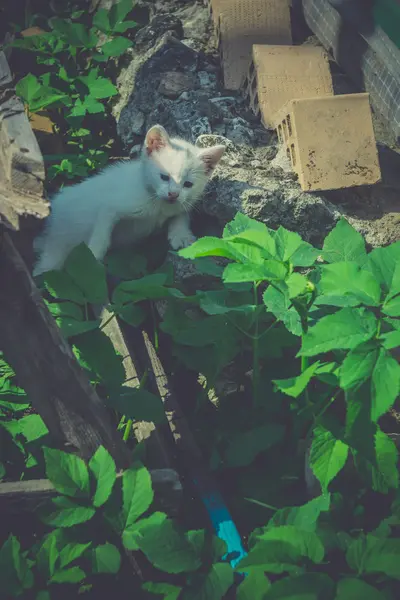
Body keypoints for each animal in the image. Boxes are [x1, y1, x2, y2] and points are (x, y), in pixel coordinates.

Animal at [32, 127, 225, 278]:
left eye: (188, 184)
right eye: (164, 177)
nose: (173, 194)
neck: (157, 205)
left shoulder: (180, 204)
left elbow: (182, 212)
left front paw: (181, 235)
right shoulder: (112, 206)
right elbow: (102, 233)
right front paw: (93, 256)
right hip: (58, 243)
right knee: (47, 264)